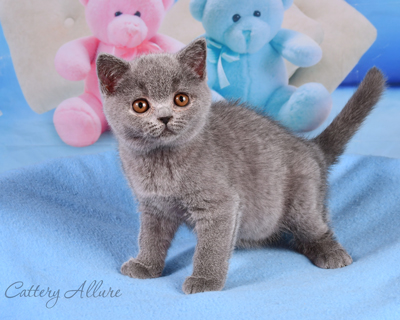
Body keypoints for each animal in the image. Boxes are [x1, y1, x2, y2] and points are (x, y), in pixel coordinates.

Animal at [95, 38, 386, 296]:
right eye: (140, 105)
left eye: (181, 99)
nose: (165, 117)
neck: (162, 162)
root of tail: (310, 147)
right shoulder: (153, 206)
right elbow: (150, 237)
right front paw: (145, 265)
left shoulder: (220, 205)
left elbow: (211, 247)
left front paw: (205, 281)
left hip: (302, 200)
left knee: (316, 226)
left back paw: (331, 252)